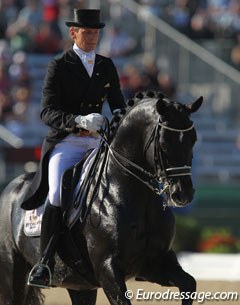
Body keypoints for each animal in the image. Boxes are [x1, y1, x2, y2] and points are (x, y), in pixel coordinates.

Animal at [0, 91, 202, 302]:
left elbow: (189, 283)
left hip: (80, 286)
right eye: (163, 143)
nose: (183, 194)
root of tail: (11, 187)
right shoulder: (107, 268)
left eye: (193, 139)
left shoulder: (155, 263)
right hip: (13, 275)